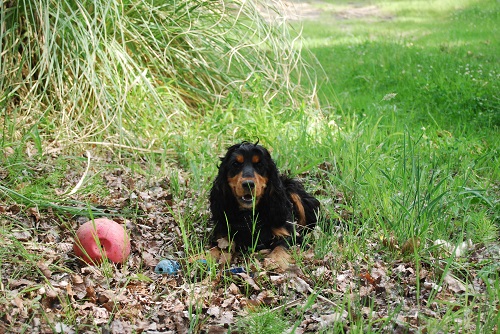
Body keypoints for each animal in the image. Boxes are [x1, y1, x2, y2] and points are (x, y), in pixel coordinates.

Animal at [208, 140, 320, 268]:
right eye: (235, 164)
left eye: (259, 165)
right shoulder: (223, 235)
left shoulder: (290, 236)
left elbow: (281, 246)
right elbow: (216, 248)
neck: (249, 215)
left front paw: (276, 261)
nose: (248, 184)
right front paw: (204, 258)